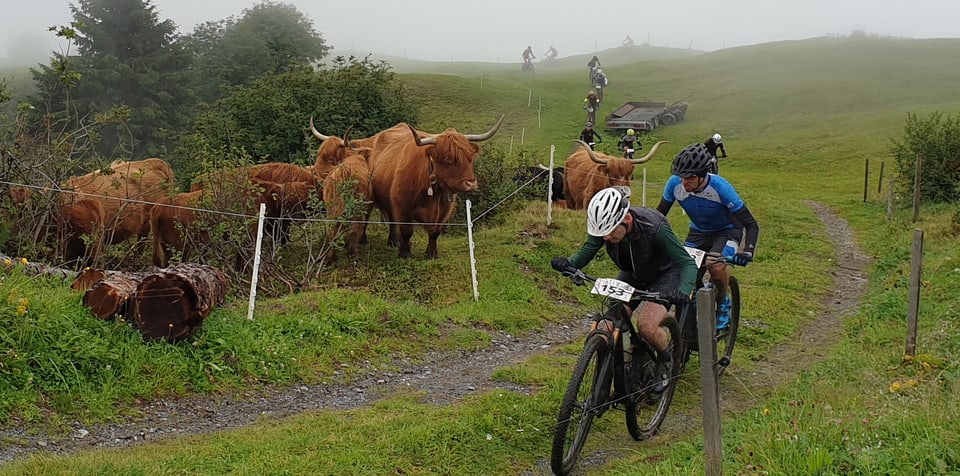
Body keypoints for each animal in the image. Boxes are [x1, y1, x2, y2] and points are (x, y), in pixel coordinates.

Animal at [368, 115, 506, 258]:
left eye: (470, 158)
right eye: (447, 159)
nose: (471, 183)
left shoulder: (445, 210)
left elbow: (435, 232)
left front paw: (432, 254)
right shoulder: (401, 207)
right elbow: (407, 231)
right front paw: (405, 254)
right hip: (386, 201)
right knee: (392, 221)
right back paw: (394, 241)